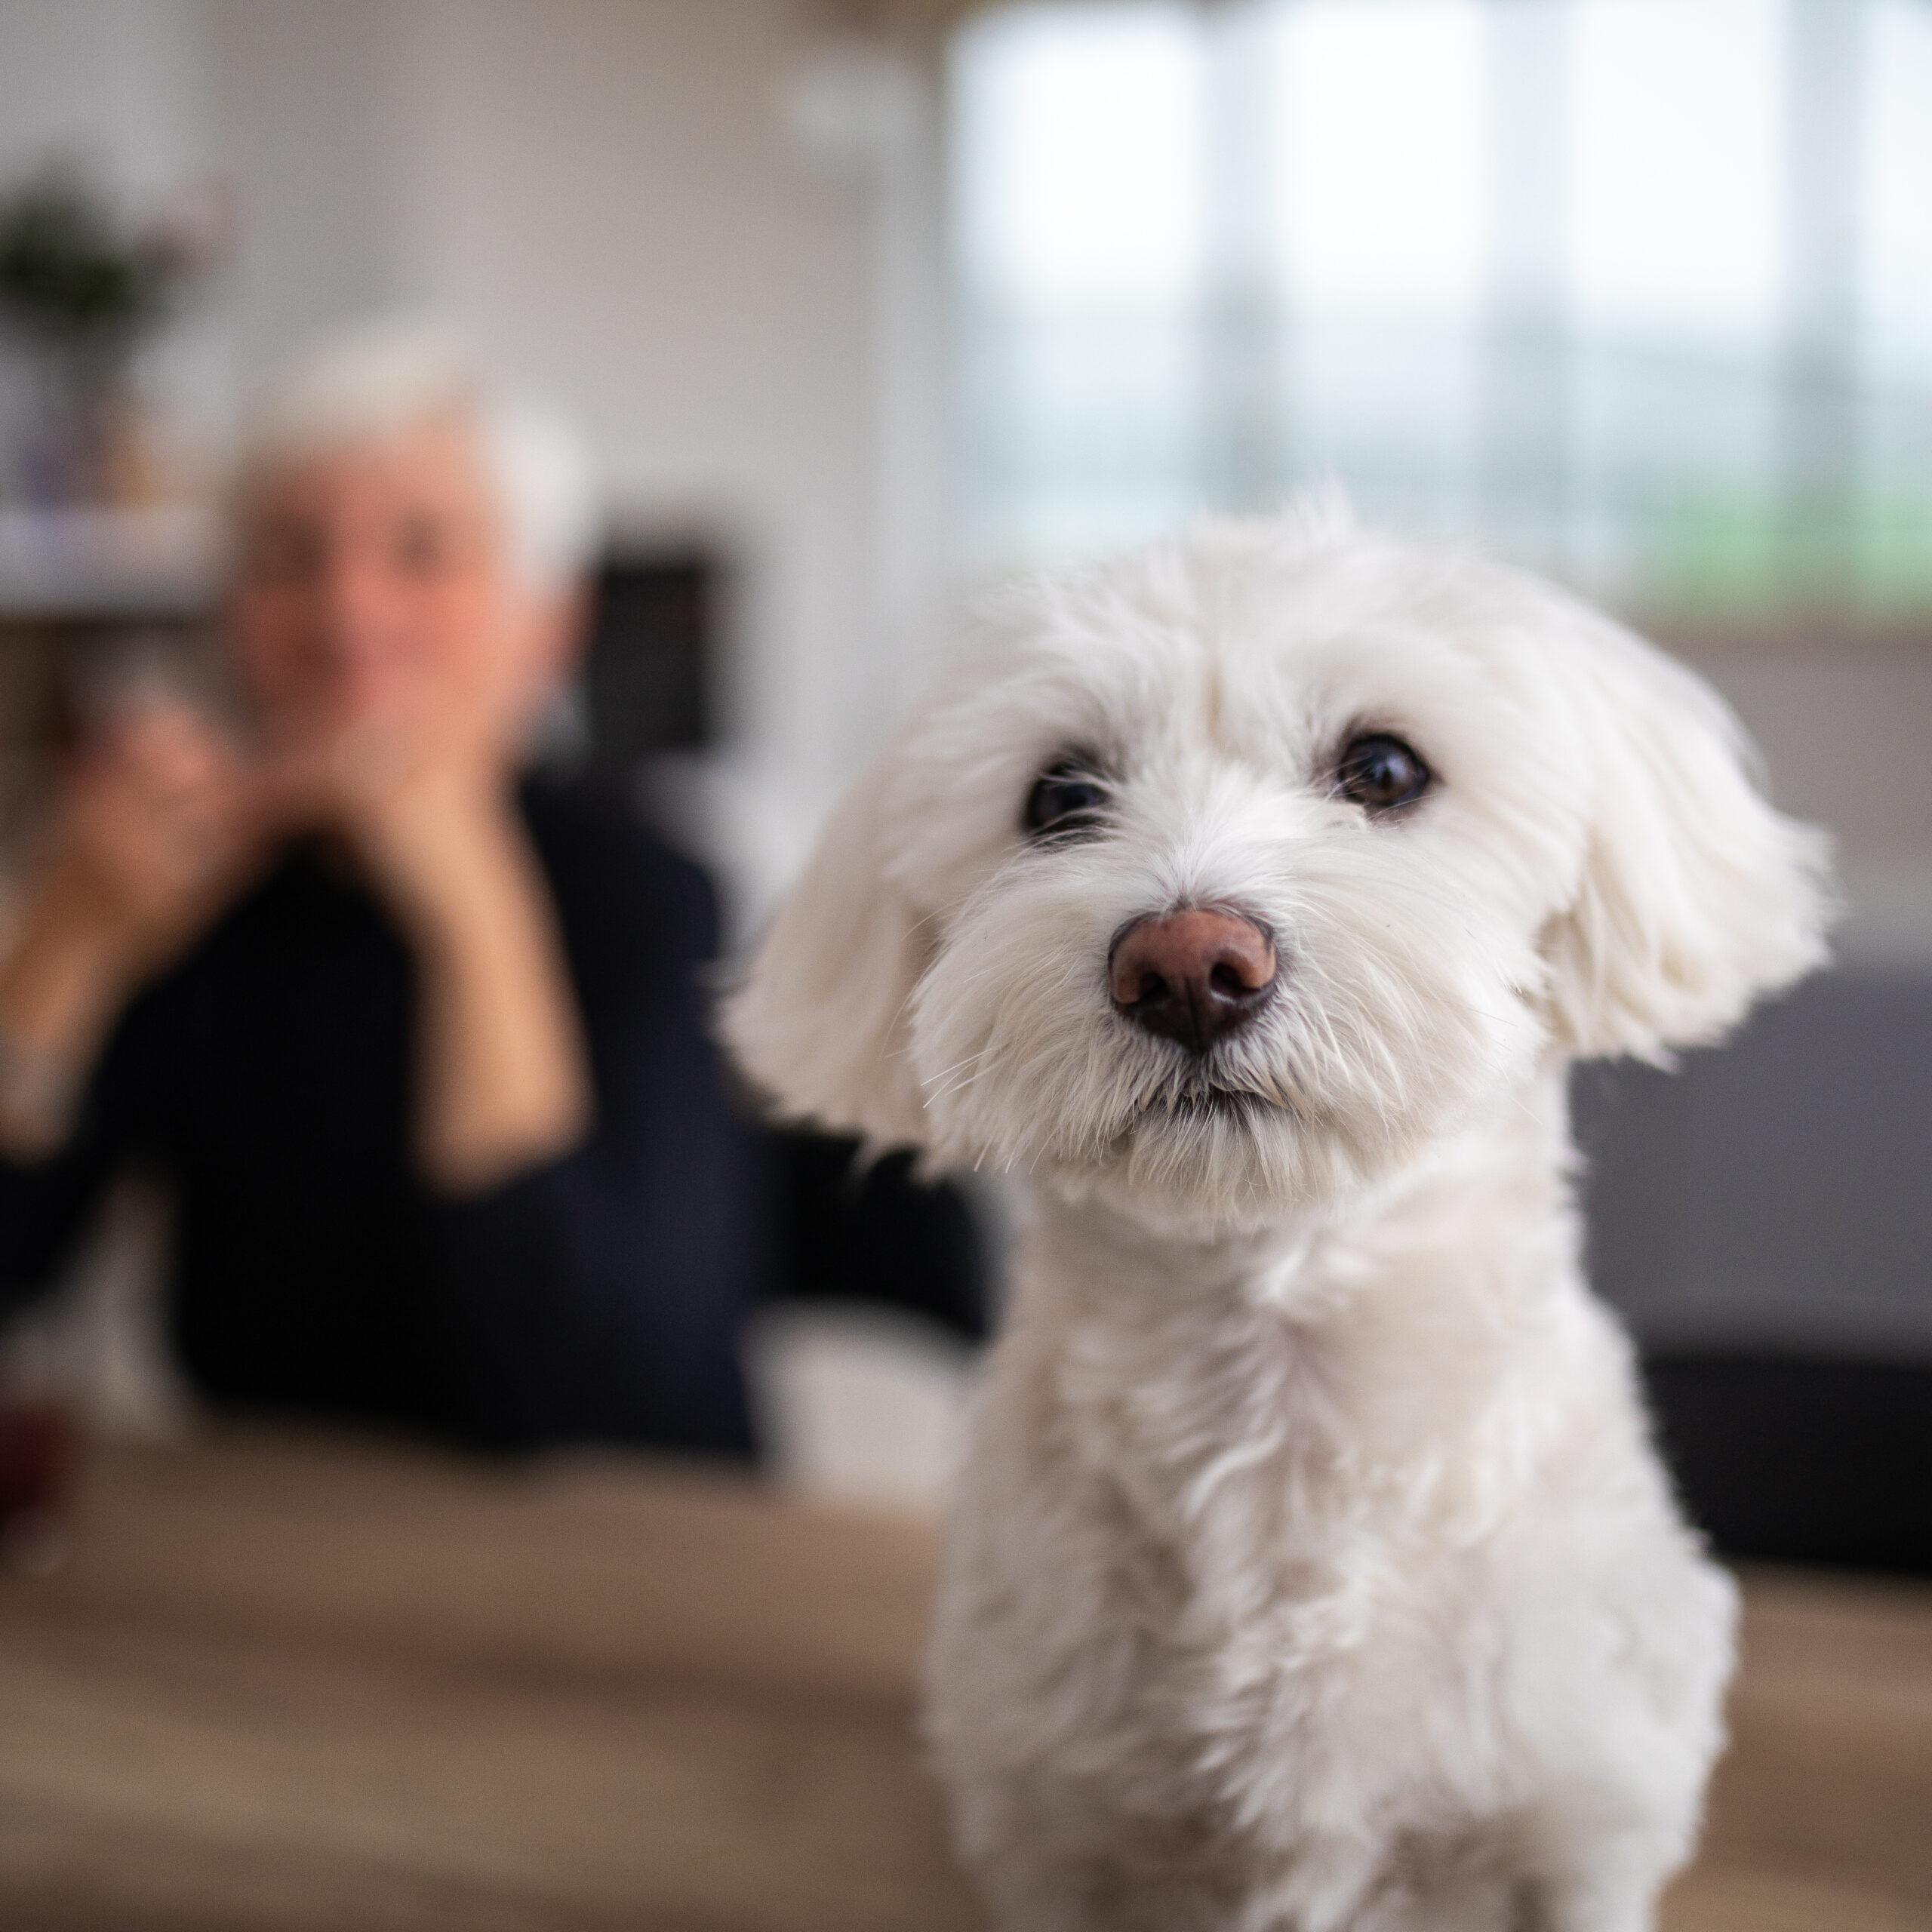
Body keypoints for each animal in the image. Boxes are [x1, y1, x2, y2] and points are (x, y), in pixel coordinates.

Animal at [722, 509, 1823, 1932]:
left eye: (1385, 767)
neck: (1285, 1404)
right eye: (1059, 798)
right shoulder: (1057, 1840)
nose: (1190, 965)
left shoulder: (1575, 1830)